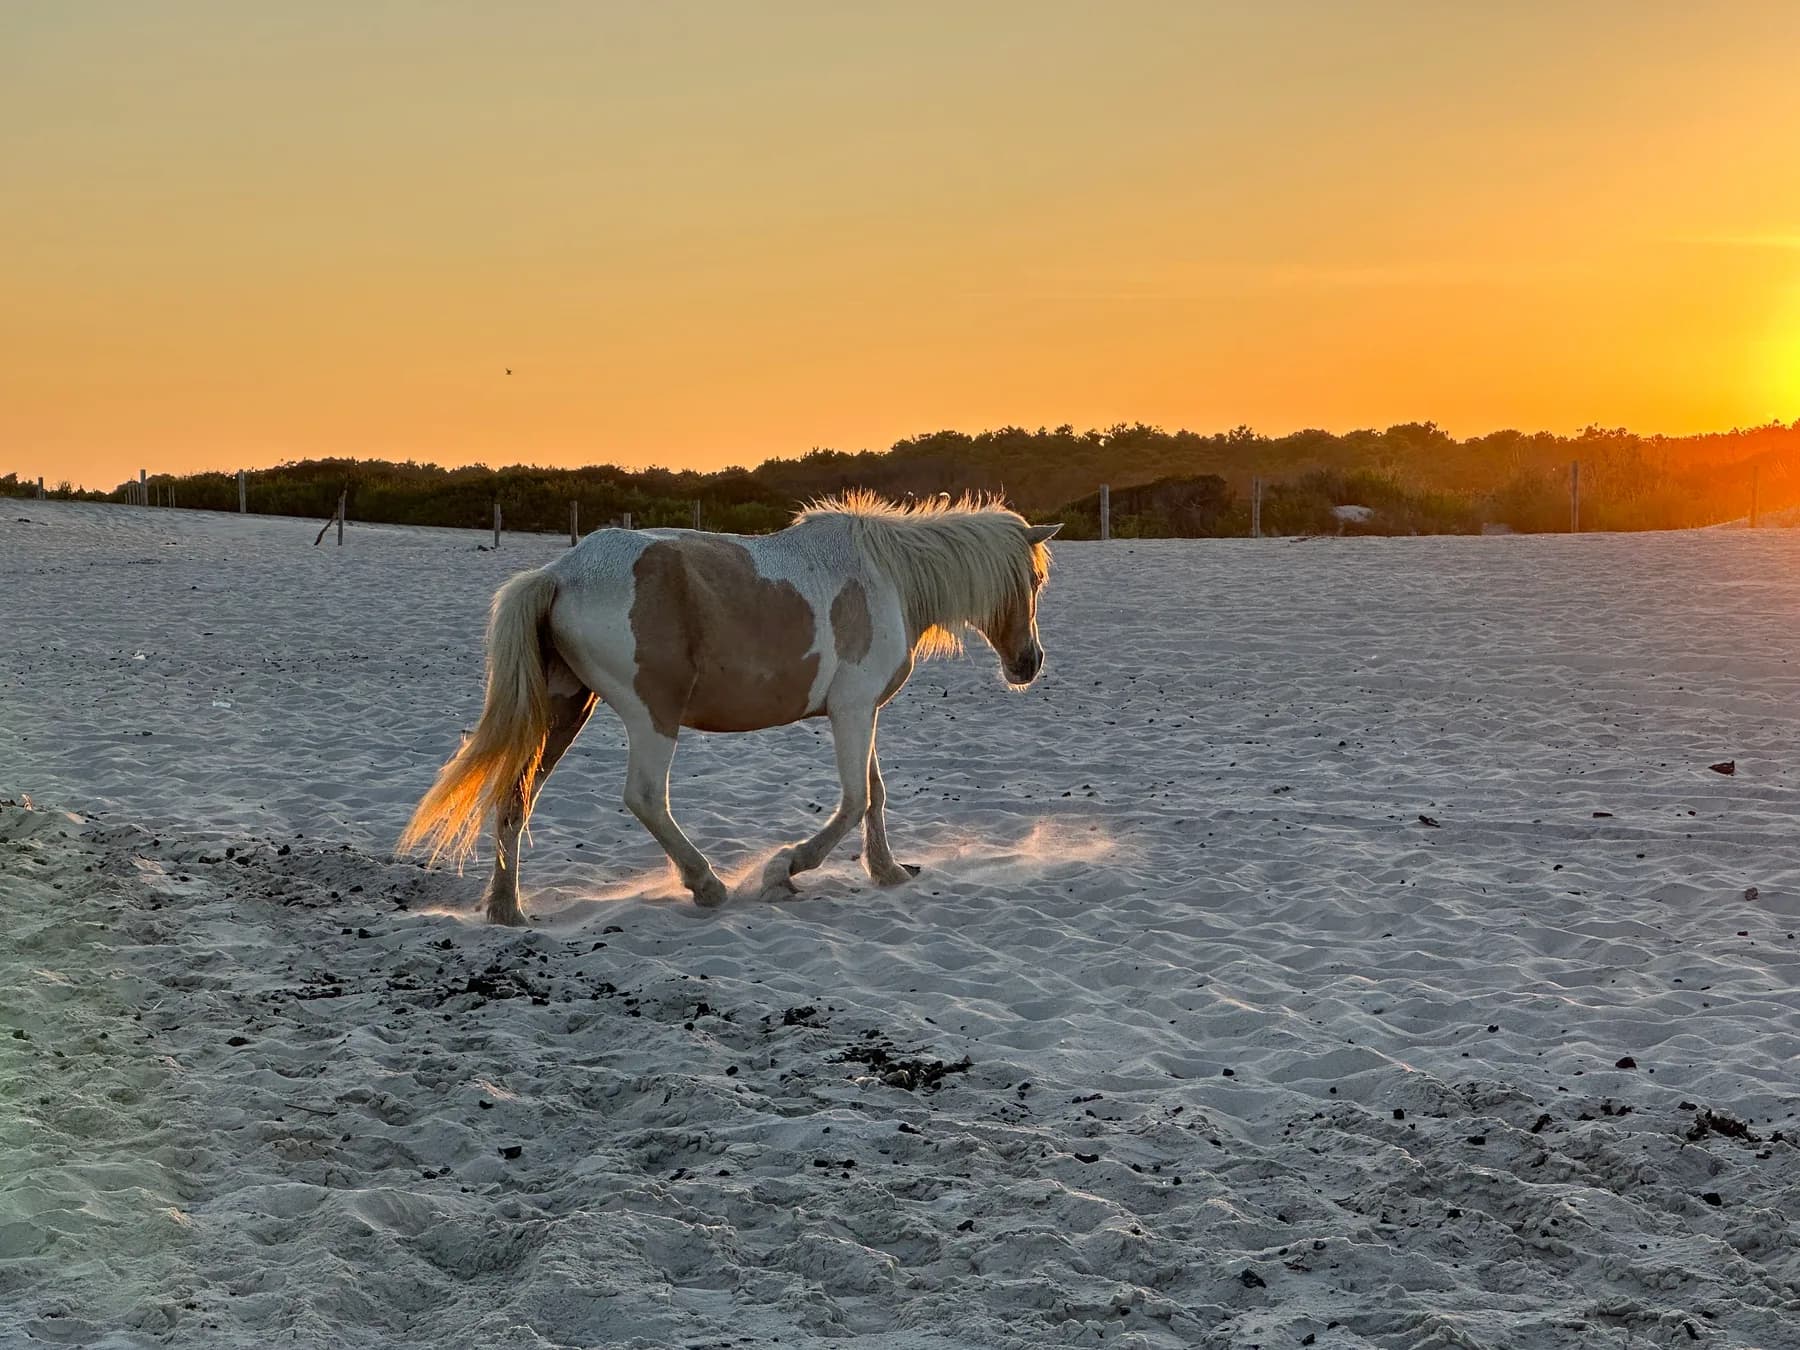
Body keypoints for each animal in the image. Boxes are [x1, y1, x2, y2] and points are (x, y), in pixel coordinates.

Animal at [399, 491, 1060, 924]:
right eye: (1033, 581)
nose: (1029, 663)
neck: (884, 577)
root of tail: (560, 574)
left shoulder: (861, 712)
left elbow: (874, 794)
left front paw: (888, 872)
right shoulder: (851, 711)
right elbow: (853, 802)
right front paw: (785, 869)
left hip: (566, 709)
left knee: (516, 793)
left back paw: (506, 909)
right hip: (652, 717)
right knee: (644, 797)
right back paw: (707, 886)